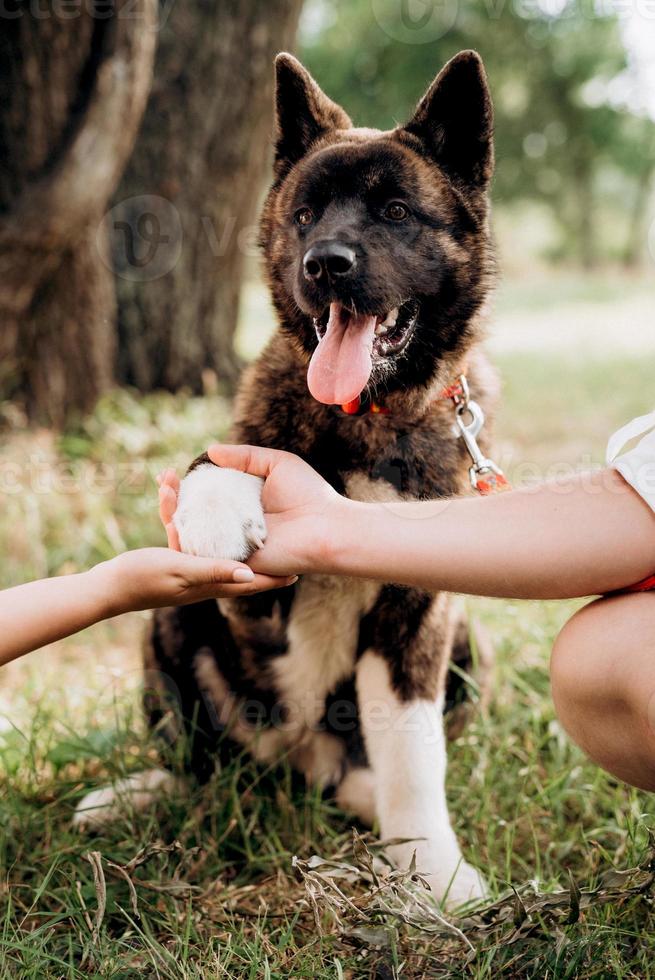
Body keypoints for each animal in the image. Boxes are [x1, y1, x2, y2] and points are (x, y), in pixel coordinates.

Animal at [75, 49, 498, 908]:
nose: (325, 264)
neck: (366, 415)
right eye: (304, 215)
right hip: (171, 626)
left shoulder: (420, 613)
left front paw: (431, 869)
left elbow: (412, 753)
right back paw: (142, 793)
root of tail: (300, 767)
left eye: (396, 211)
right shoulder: (251, 596)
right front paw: (212, 513)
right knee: (205, 763)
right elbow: (216, 463)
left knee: (366, 767)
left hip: (470, 645)